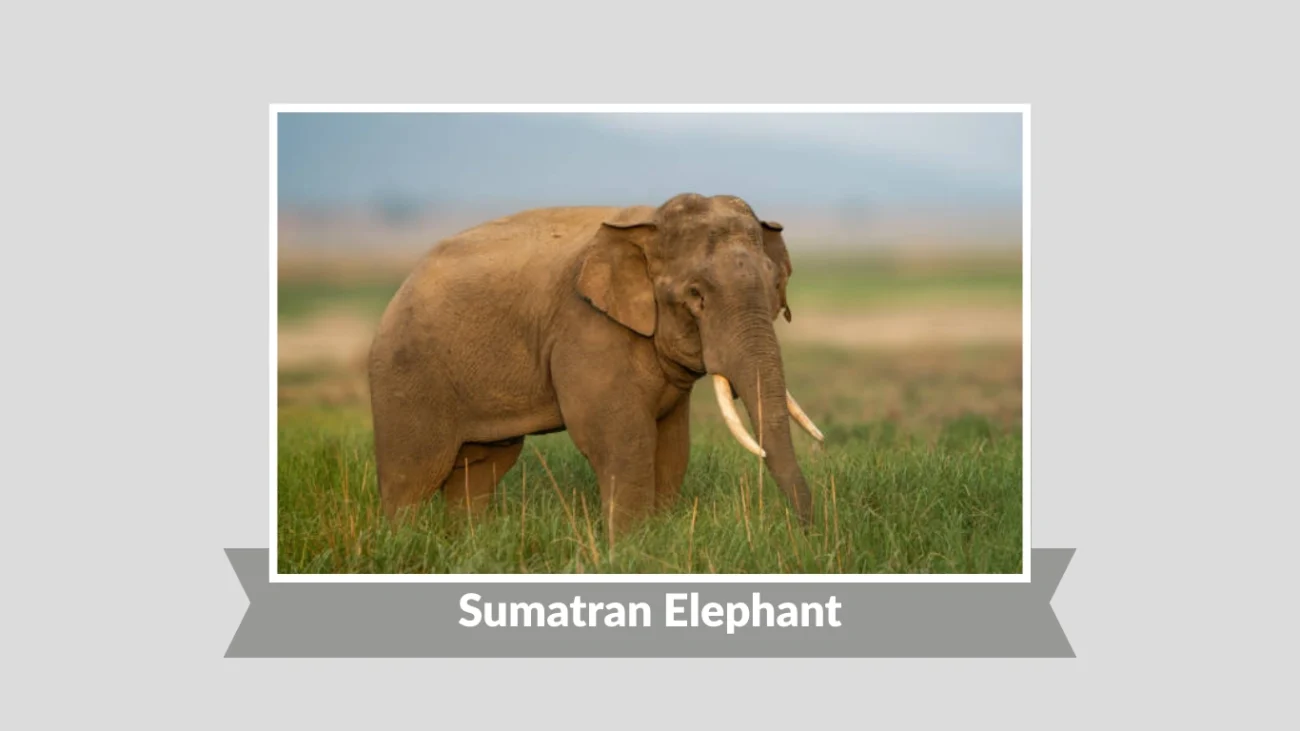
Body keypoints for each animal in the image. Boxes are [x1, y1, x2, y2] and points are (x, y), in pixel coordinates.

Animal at [367, 192, 824, 538]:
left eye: (775, 286)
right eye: (696, 295)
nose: (804, 533)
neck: (650, 223)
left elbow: (672, 445)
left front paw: (653, 539)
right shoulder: (587, 328)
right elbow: (621, 438)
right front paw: (629, 549)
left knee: (481, 469)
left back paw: (468, 541)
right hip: (407, 375)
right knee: (413, 477)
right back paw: (405, 542)